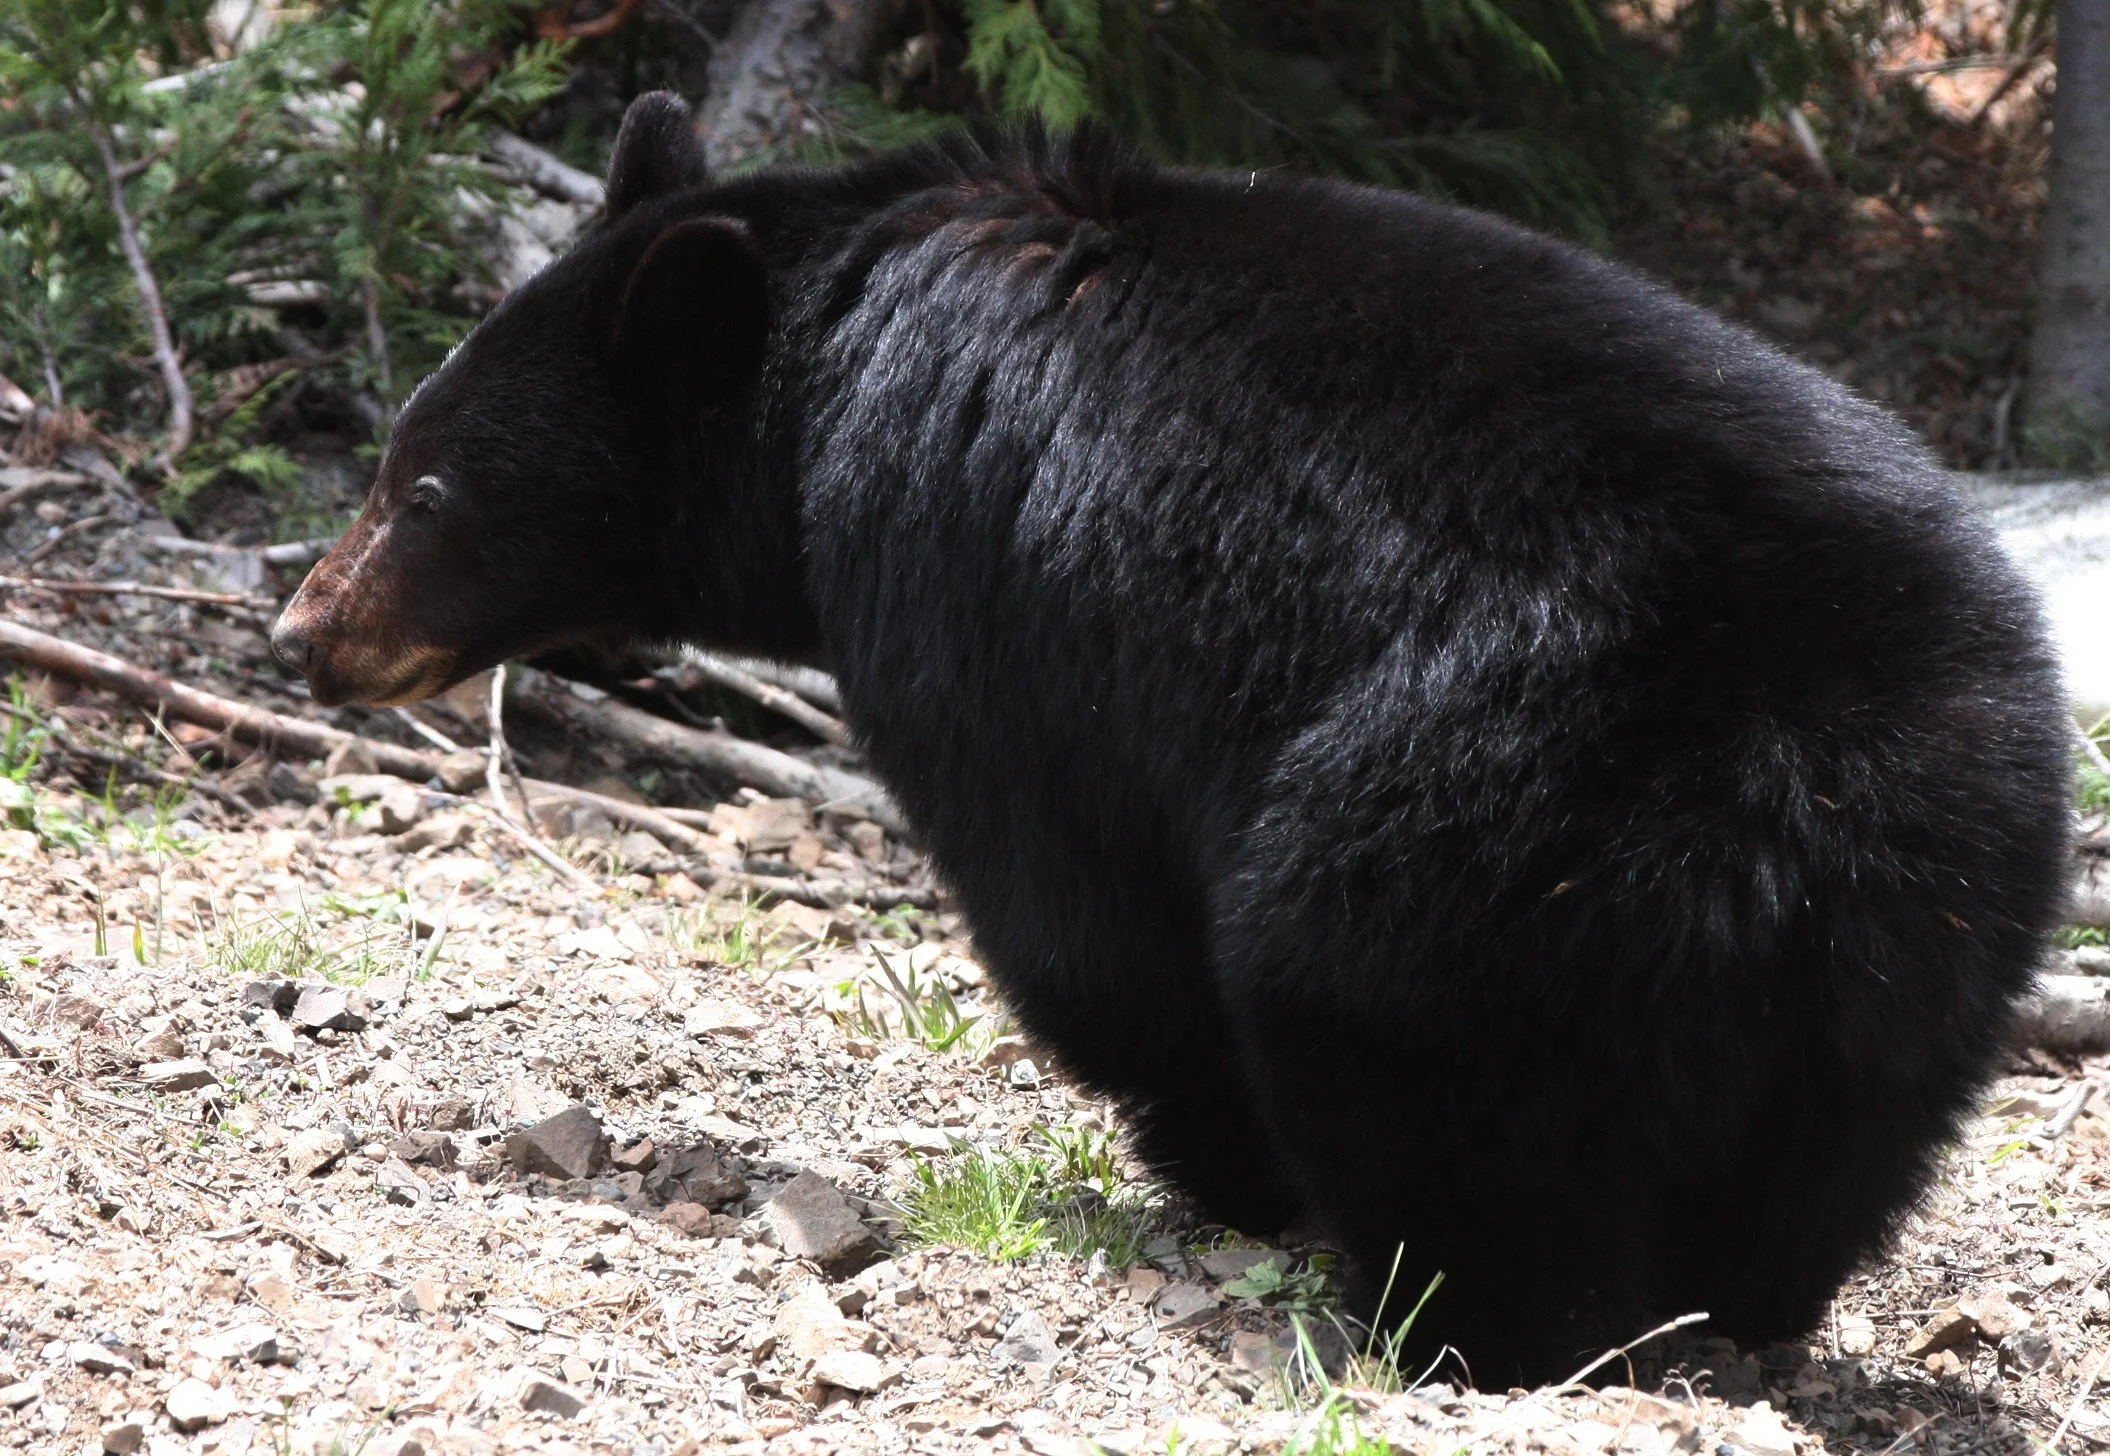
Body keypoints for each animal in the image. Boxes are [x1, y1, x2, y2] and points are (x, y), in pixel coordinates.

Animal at [271, 91, 2074, 1385]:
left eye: (425, 488)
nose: (303, 631)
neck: (833, 349)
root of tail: (1808, 754)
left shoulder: (963, 584)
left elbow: (1081, 920)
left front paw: (1219, 1178)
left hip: (1491, 823)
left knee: (1372, 1012)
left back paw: (1467, 1317)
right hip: (1945, 900)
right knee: (1842, 1141)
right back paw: (1736, 1305)